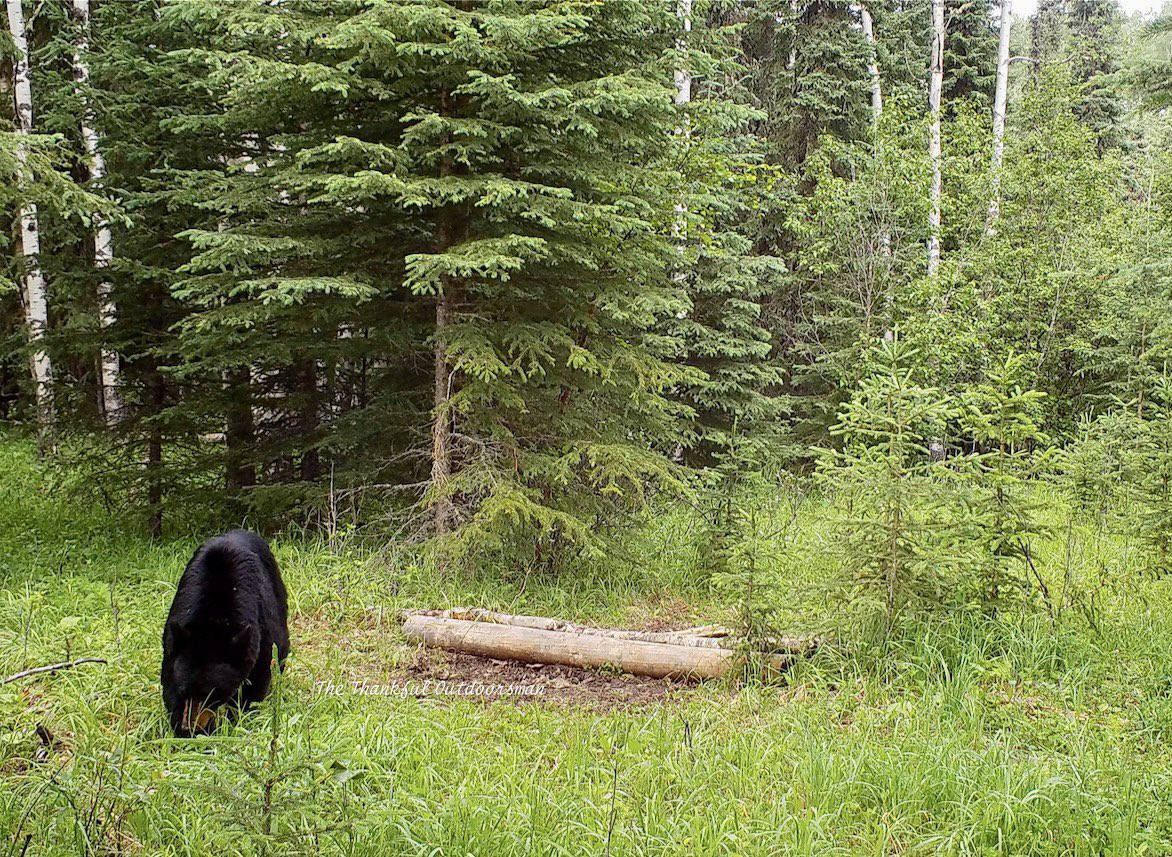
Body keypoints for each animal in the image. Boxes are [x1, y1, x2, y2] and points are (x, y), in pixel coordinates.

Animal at [161, 529, 290, 737]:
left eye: (210, 694)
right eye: (185, 690)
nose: (190, 726)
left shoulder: (259, 633)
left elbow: (257, 680)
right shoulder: (174, 639)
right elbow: (169, 681)